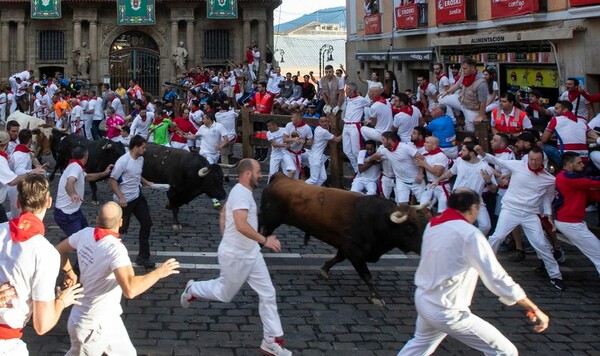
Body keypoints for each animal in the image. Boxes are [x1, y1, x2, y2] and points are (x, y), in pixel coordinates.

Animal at [258, 173, 432, 306]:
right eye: (409, 229)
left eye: (419, 224)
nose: (423, 247)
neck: (376, 219)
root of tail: (279, 176)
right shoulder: (353, 249)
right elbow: (366, 274)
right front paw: (376, 296)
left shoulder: (345, 246)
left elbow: (337, 258)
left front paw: (325, 268)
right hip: (270, 220)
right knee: (262, 231)